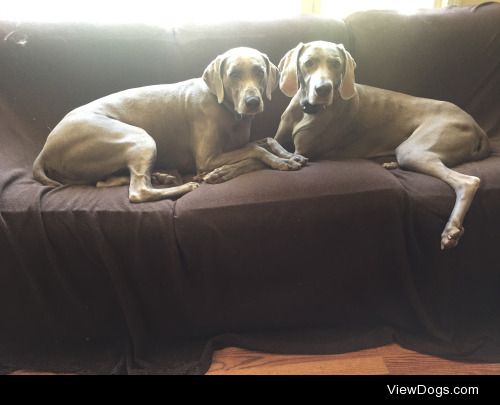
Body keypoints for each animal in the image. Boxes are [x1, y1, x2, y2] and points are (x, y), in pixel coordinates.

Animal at [33, 46, 306, 202]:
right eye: (234, 74)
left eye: (259, 71)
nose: (252, 102)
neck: (227, 109)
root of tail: (45, 149)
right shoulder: (207, 158)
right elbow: (254, 150)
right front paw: (280, 162)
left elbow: (264, 141)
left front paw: (288, 155)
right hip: (139, 138)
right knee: (138, 192)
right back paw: (185, 185)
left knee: (107, 181)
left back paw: (163, 176)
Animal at [276, 41, 490, 249]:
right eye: (308, 62)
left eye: (336, 64)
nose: (323, 89)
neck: (305, 110)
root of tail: (477, 126)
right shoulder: (279, 138)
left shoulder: (302, 151)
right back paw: (390, 164)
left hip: (412, 150)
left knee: (468, 182)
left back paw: (451, 229)